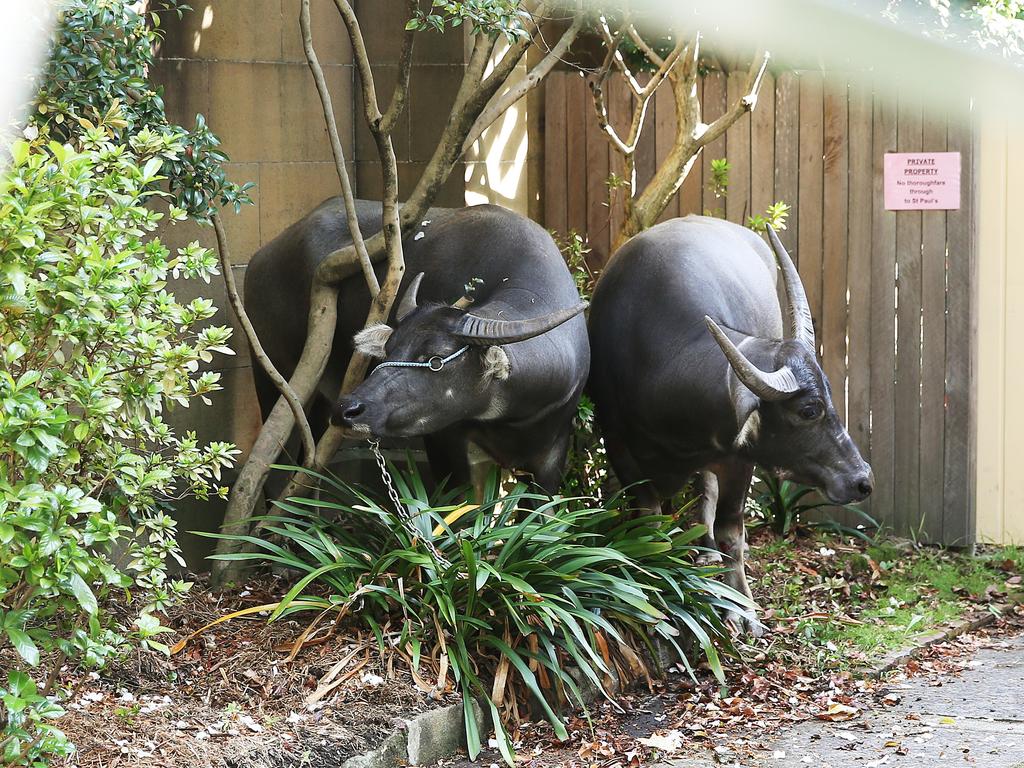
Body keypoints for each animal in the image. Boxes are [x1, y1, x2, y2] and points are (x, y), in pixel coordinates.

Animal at [242, 198, 589, 493]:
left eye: (436, 359)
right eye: (390, 350)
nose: (348, 409)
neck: (513, 415)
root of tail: (260, 258)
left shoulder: (549, 459)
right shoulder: (447, 444)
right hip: (275, 383)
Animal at [585, 215, 872, 630]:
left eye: (831, 395)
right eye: (808, 410)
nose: (862, 479)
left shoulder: (739, 461)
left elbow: (730, 533)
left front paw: (742, 610)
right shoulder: (618, 445)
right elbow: (649, 521)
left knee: (708, 495)